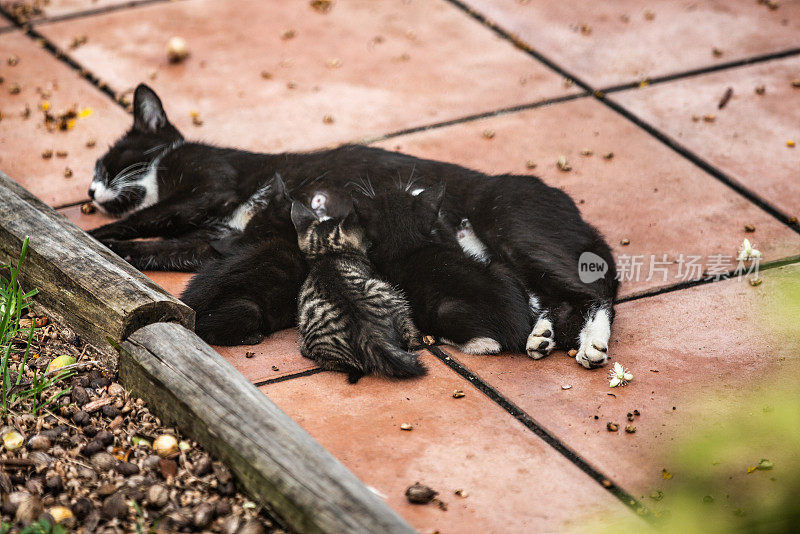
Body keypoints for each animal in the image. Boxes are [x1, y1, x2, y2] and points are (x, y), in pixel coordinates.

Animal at [354, 184, 536, 356]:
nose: (389, 187)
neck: (408, 242)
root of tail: (520, 330)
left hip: (445, 310)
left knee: (489, 344)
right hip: (500, 268)